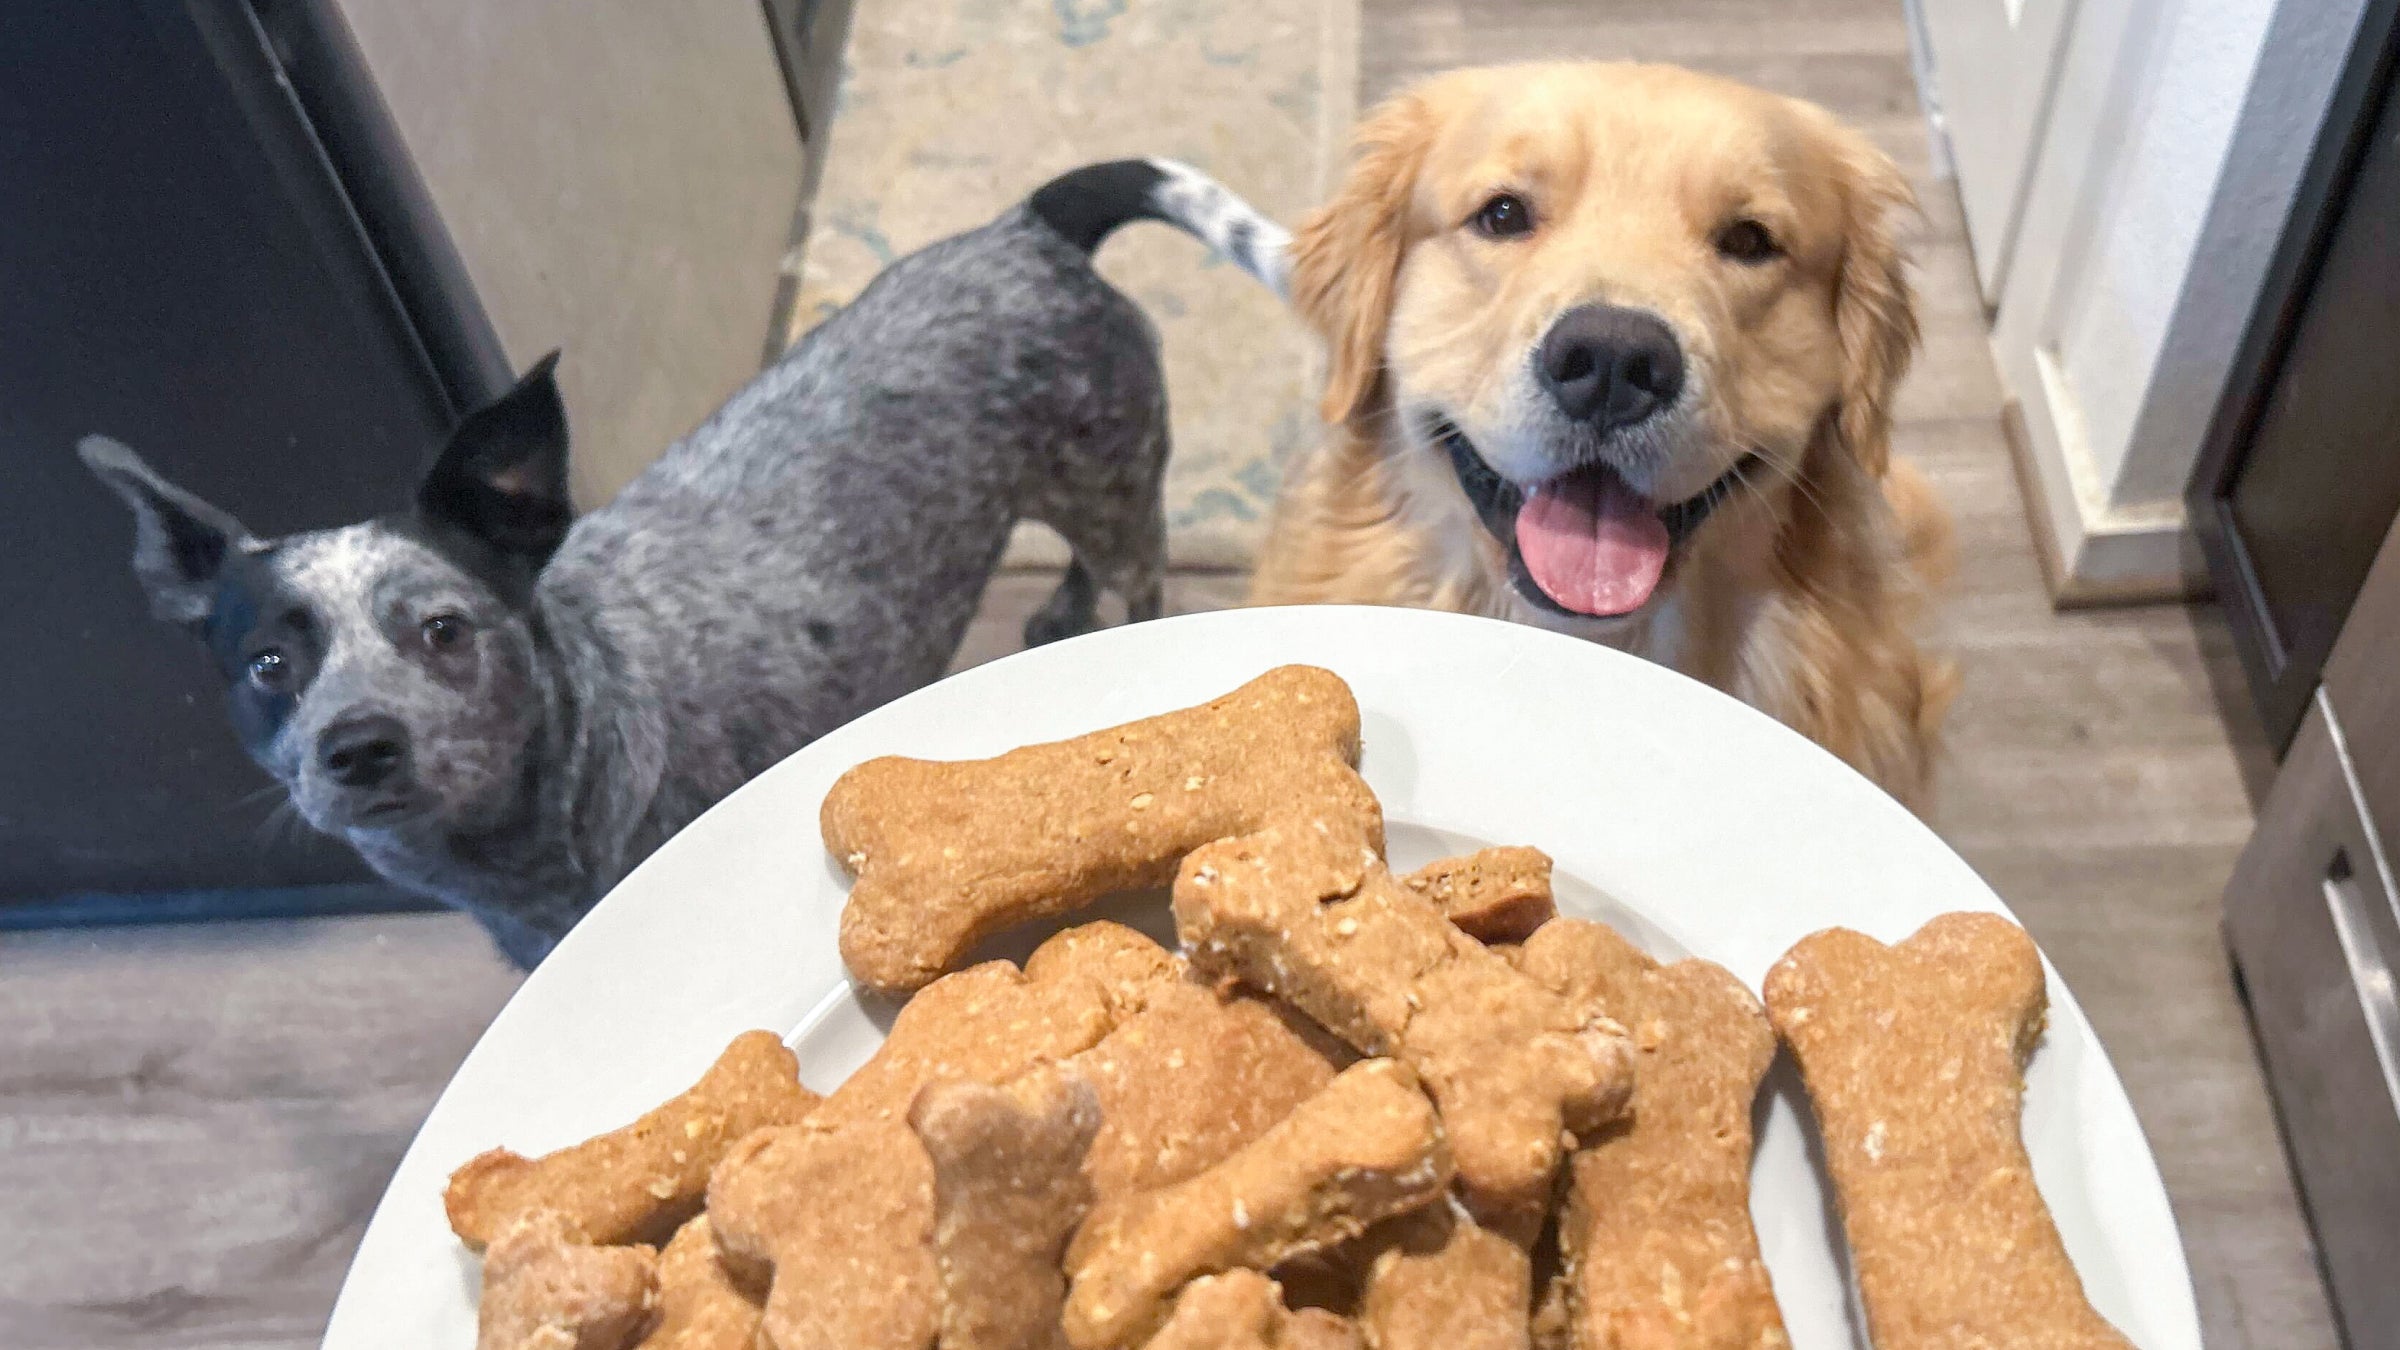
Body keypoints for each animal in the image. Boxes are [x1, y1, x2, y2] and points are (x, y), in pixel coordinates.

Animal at [79, 163, 1296, 960]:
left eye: (443, 628)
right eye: (268, 666)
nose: (359, 746)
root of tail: (1025, 227)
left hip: (1114, 490)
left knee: (1134, 567)